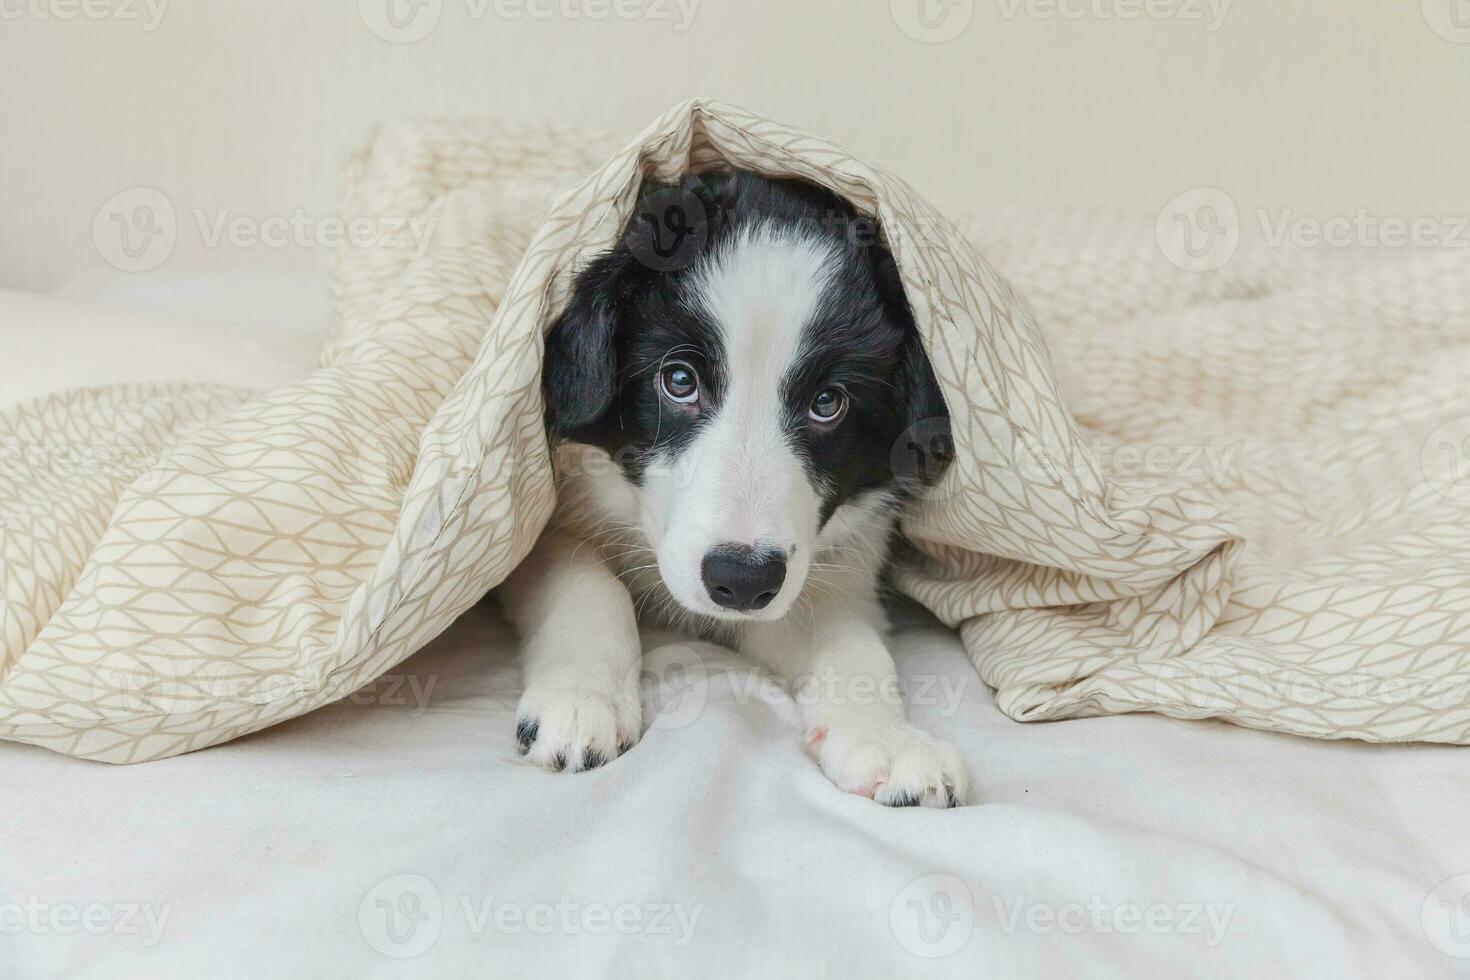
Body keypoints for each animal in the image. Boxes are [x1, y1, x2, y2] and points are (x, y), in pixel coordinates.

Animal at [499, 168, 970, 811]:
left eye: (828, 403)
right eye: (678, 380)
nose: (742, 581)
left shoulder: (818, 576)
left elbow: (851, 645)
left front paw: (889, 739)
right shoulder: (540, 520)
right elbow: (586, 578)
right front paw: (581, 699)